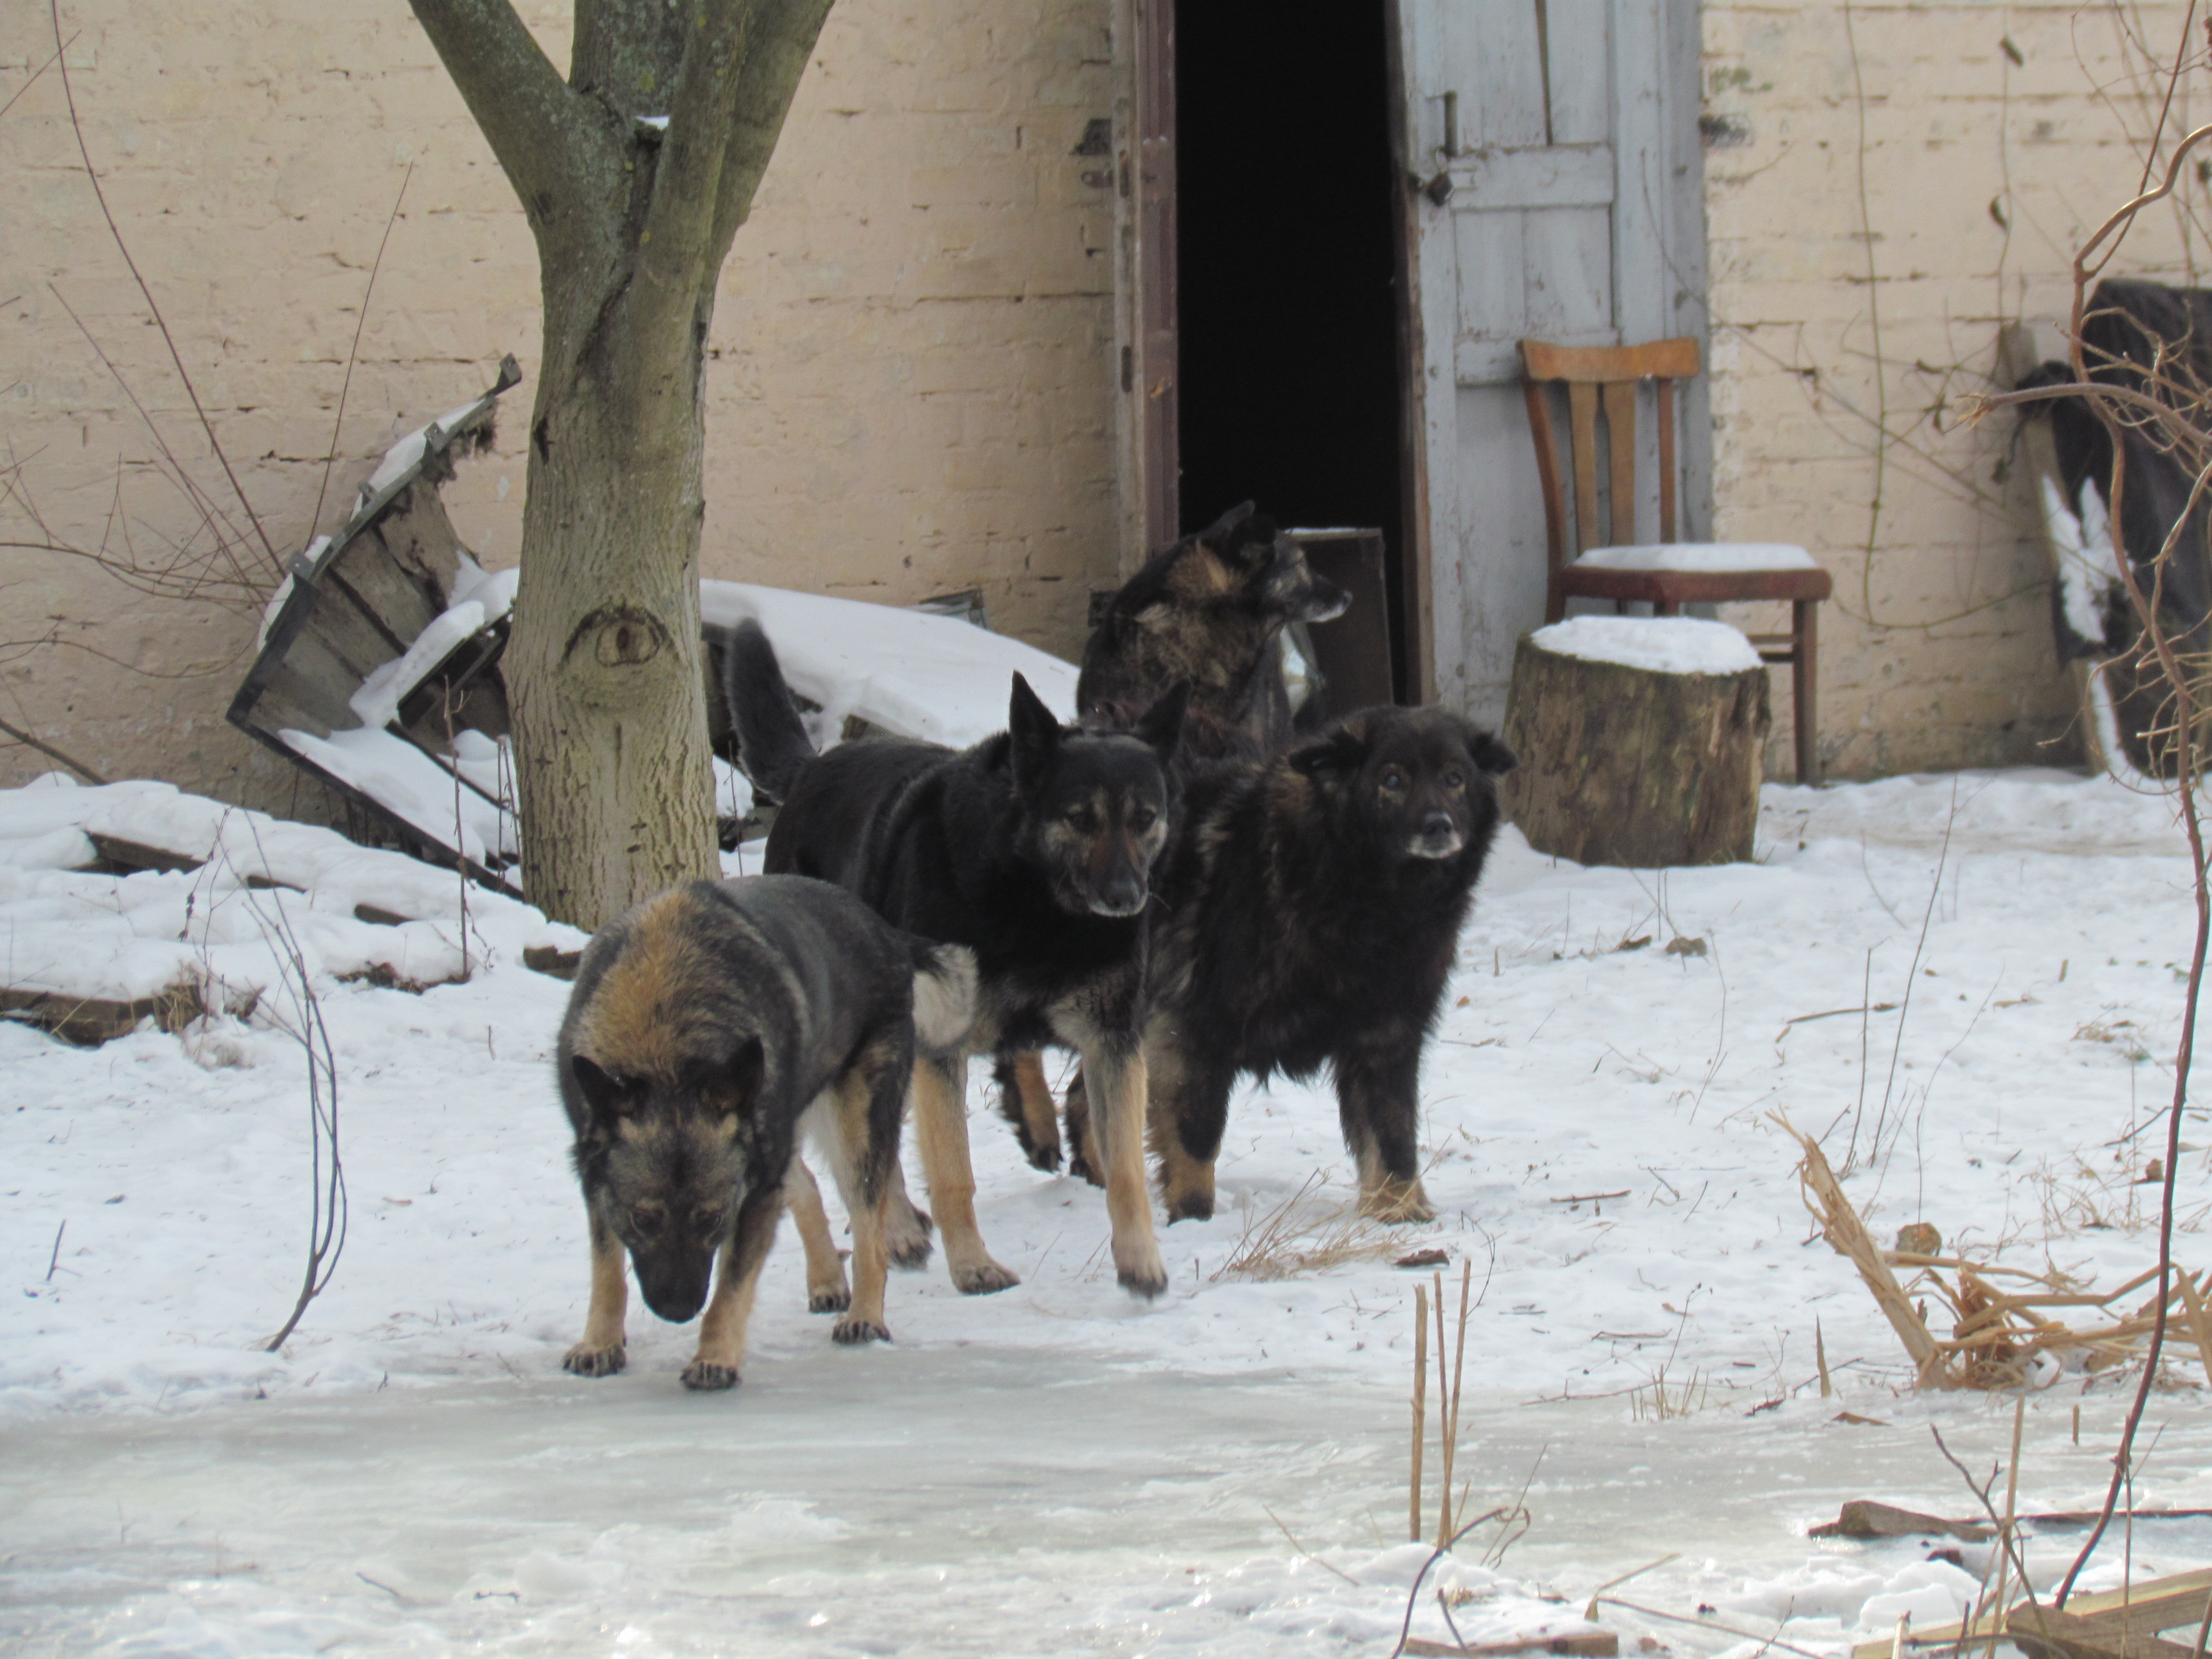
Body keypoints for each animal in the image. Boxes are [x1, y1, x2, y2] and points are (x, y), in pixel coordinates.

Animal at [557, 876, 973, 1398]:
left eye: (713, 1220)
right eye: (644, 1220)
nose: (678, 1310)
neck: (665, 1039)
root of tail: (887, 933)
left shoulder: (752, 1194)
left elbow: (731, 1286)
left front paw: (714, 1357)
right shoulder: (598, 1180)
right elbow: (608, 1270)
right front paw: (600, 1344)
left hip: (852, 1130)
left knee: (868, 1224)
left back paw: (864, 1315)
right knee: (808, 1187)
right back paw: (827, 1281)